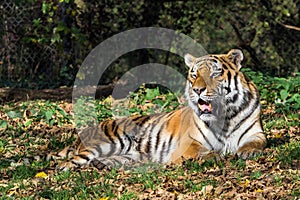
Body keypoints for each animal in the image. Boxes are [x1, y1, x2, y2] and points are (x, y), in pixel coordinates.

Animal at [49, 48, 268, 170]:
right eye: (194, 74)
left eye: (214, 73)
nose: (197, 90)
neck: (226, 116)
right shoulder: (189, 143)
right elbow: (204, 152)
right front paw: (216, 155)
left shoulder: (256, 133)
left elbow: (256, 143)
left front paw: (247, 152)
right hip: (104, 144)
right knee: (70, 161)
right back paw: (65, 168)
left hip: (127, 154)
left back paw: (103, 165)